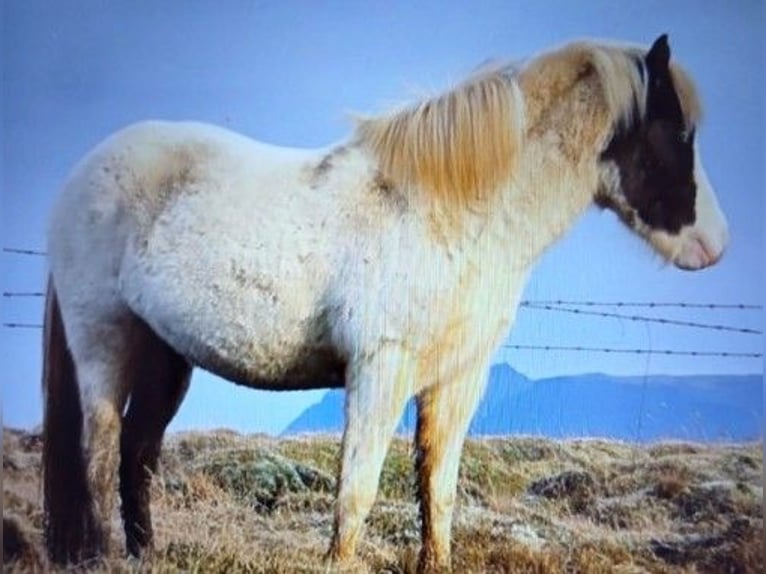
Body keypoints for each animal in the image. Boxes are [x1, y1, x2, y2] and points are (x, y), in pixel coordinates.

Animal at [42, 35, 728, 571]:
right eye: (678, 132)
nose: (714, 246)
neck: (451, 213)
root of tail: (81, 173)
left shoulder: (458, 379)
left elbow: (438, 489)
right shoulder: (379, 369)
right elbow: (358, 491)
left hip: (167, 354)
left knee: (138, 452)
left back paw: (144, 555)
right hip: (105, 338)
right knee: (101, 447)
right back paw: (103, 555)